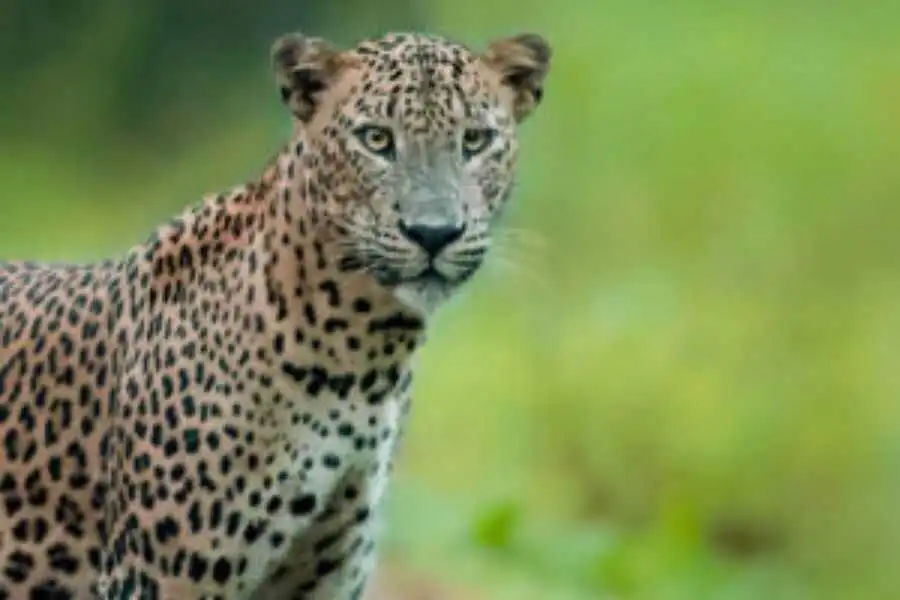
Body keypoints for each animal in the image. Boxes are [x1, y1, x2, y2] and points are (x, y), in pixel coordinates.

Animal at [0, 28, 552, 599]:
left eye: (475, 141)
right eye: (376, 140)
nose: (434, 233)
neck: (363, 356)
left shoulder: (328, 573)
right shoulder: (157, 578)